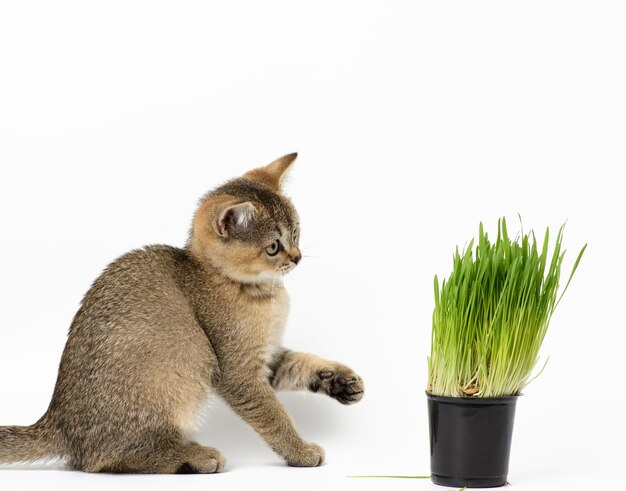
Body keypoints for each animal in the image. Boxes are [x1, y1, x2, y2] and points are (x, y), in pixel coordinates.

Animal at [0, 156, 364, 474]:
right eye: (273, 247)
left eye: (297, 232)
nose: (297, 256)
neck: (259, 292)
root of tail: (58, 422)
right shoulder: (238, 373)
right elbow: (273, 415)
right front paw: (300, 451)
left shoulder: (269, 356)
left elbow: (300, 364)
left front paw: (340, 381)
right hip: (179, 370)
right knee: (105, 459)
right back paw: (195, 457)